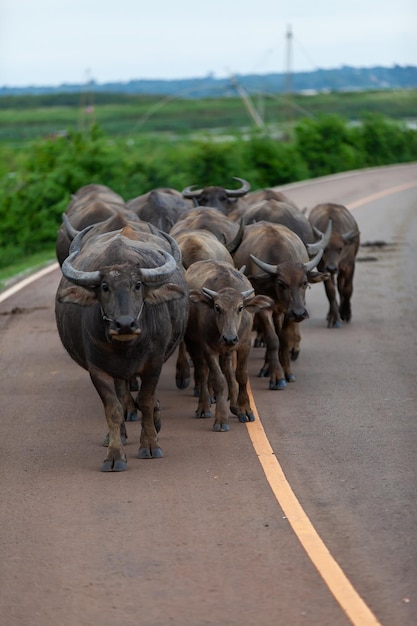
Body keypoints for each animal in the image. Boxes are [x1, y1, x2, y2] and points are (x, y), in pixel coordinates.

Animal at [54, 222, 188, 470]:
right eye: (105, 287)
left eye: (137, 285)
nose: (125, 324)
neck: (126, 349)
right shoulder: (98, 370)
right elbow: (113, 408)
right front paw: (114, 454)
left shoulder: (154, 364)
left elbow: (146, 400)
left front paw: (150, 444)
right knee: (122, 394)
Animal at [182, 258, 272, 428]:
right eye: (217, 307)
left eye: (240, 307)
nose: (229, 338)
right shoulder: (208, 349)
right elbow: (217, 381)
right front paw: (221, 418)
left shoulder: (244, 345)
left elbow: (241, 375)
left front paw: (245, 409)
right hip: (192, 342)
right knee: (202, 371)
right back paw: (203, 406)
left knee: (228, 369)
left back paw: (234, 405)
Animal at [232, 218, 326, 386]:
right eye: (281, 284)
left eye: (304, 283)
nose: (300, 313)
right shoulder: (263, 310)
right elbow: (273, 340)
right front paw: (277, 376)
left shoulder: (288, 312)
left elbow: (284, 339)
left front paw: (287, 372)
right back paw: (267, 368)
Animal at [308, 201, 360, 330]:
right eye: (325, 249)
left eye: (340, 248)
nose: (331, 268)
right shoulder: (322, 268)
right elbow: (330, 291)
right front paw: (334, 317)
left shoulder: (349, 265)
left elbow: (347, 289)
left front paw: (346, 313)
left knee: (341, 286)